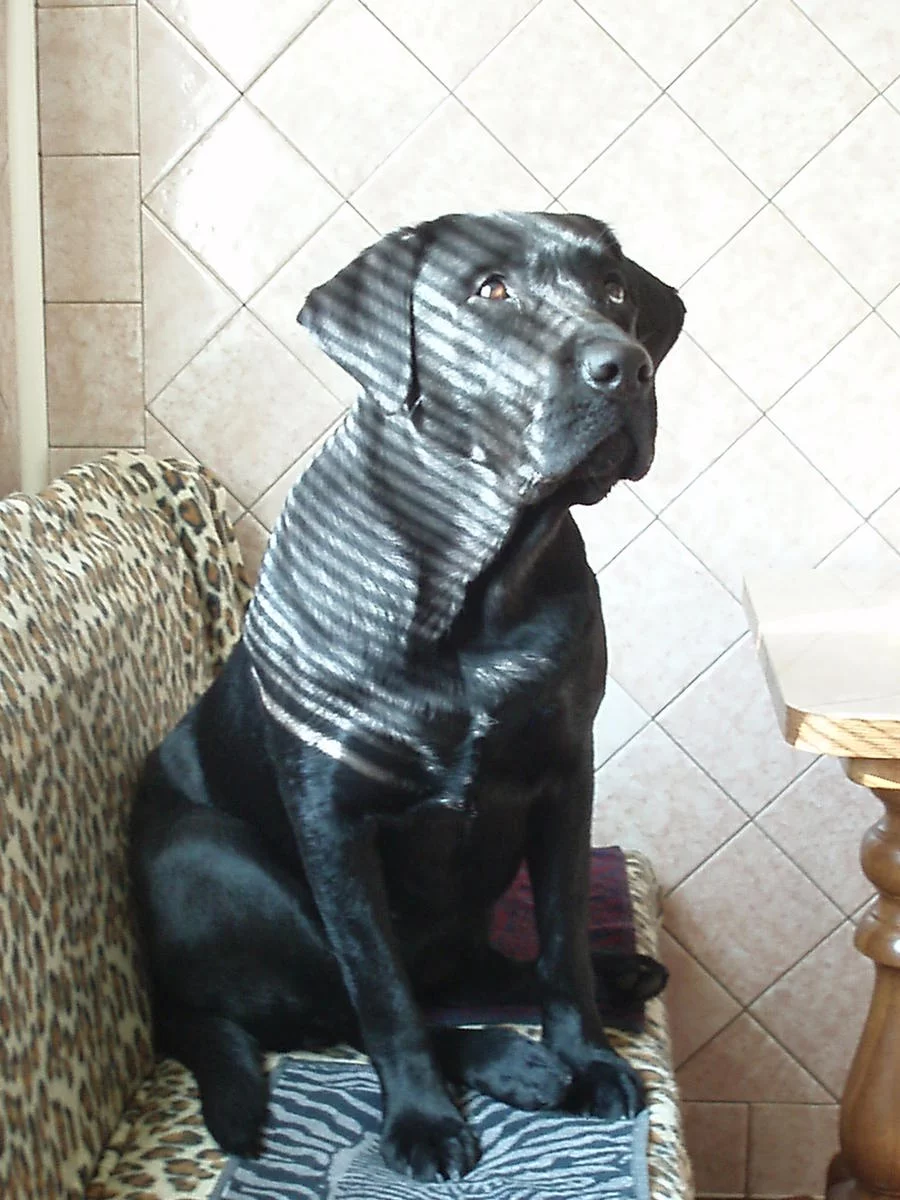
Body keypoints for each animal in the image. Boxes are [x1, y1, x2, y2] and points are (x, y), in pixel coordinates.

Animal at [129, 211, 685, 1183]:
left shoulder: (564, 779)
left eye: (615, 289)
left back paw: (608, 986)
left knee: (471, 970)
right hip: (210, 856)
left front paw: (590, 1056)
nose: (625, 365)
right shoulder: (334, 822)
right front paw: (425, 1118)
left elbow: (561, 942)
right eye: (489, 289)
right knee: (353, 1006)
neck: (475, 583)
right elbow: (382, 997)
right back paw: (508, 1062)